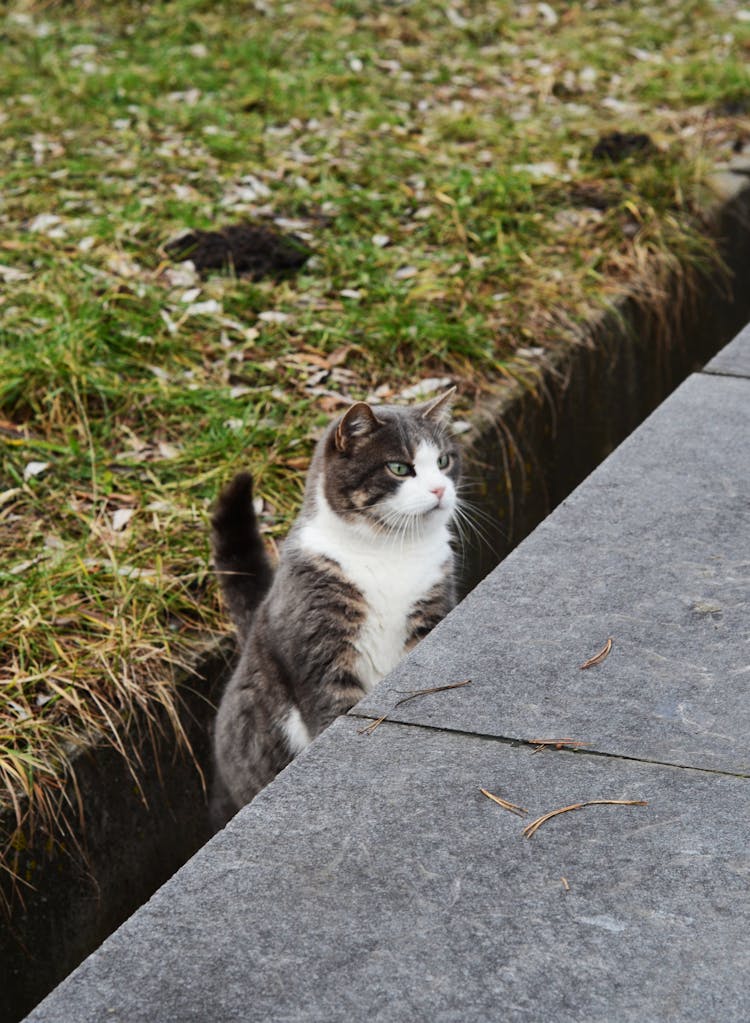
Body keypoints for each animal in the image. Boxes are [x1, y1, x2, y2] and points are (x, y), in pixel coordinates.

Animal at [207, 386, 458, 826]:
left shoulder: (431, 609)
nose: (440, 490)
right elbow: (331, 708)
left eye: (443, 462)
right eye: (399, 467)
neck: (391, 552)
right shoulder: (321, 647)